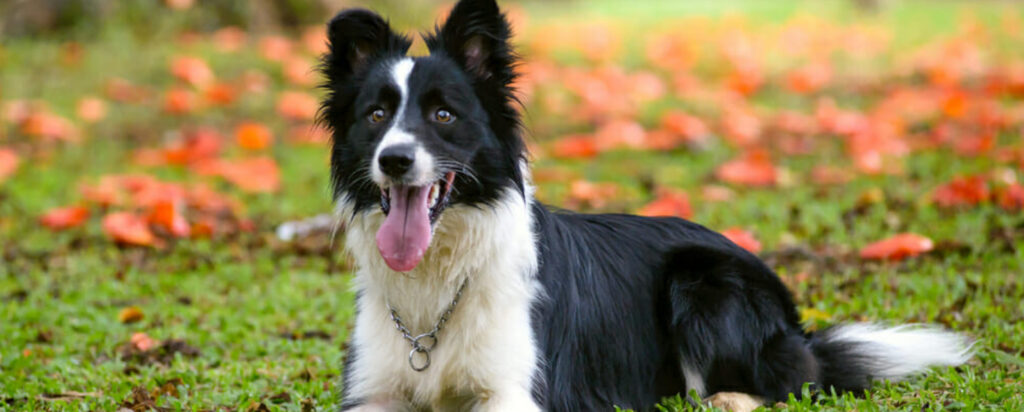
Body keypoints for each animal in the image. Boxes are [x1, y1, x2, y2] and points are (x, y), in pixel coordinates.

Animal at [317, 1, 966, 409]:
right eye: (376, 115)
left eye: (444, 114)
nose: (395, 160)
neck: (437, 281)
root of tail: (796, 324)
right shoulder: (374, 390)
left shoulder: (515, 391)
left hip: (703, 282)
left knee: (782, 383)